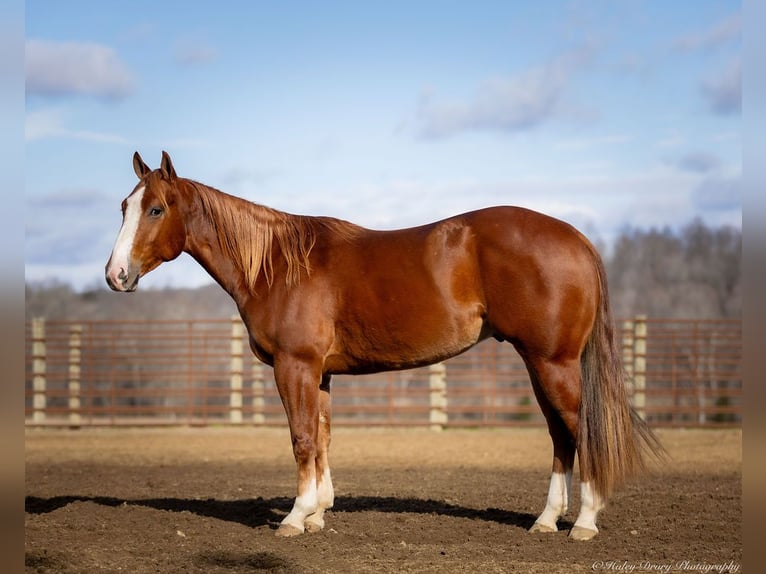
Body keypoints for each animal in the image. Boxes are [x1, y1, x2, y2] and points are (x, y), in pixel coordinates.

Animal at [105, 152, 664, 540]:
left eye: (155, 209)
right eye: (124, 206)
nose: (116, 275)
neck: (277, 265)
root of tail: (578, 239)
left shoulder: (294, 366)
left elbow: (302, 438)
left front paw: (295, 517)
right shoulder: (321, 373)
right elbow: (322, 437)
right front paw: (318, 513)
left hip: (553, 363)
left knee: (581, 429)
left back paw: (584, 522)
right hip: (540, 363)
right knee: (560, 435)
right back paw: (547, 520)